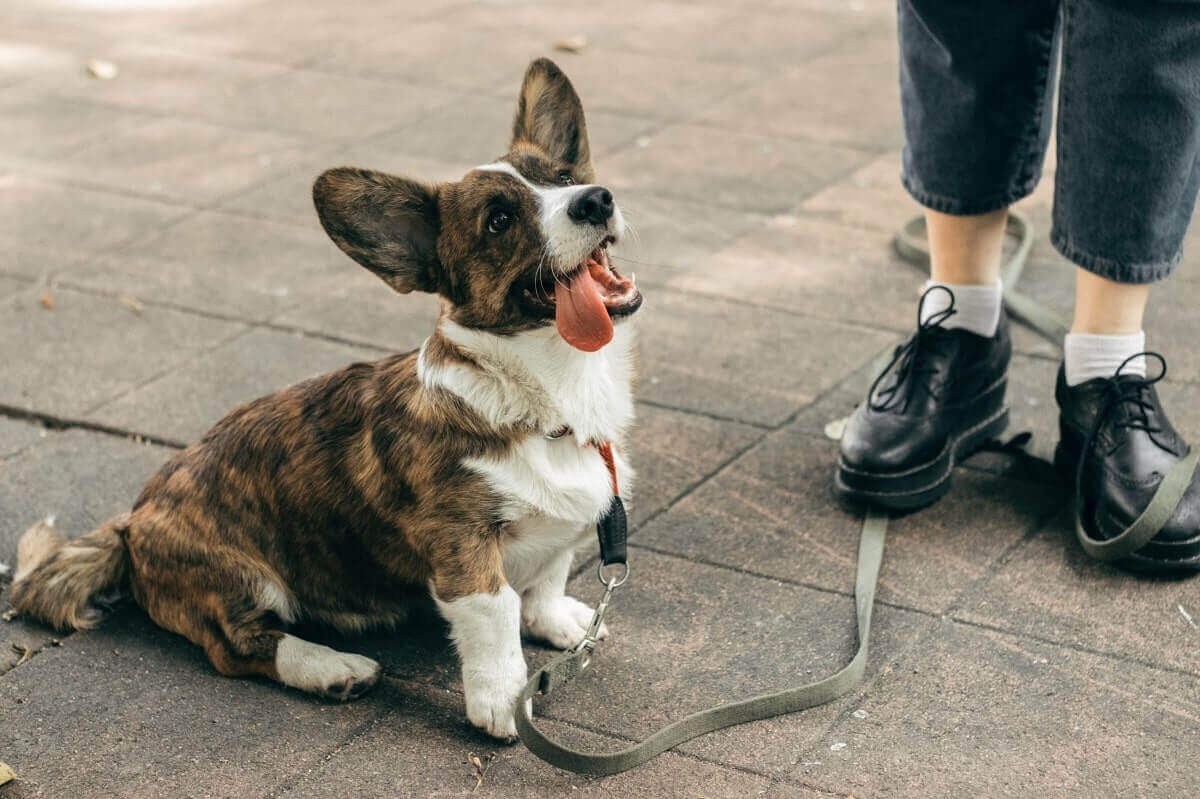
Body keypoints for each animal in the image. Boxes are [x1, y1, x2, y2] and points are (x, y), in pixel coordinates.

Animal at [11, 59, 648, 739]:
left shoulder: (566, 527)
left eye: (564, 179)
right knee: (236, 646)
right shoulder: (464, 549)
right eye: (499, 221)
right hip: (242, 577)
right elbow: (497, 616)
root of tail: (131, 524)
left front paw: (559, 623)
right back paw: (332, 668)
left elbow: (549, 575)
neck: (549, 397)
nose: (596, 199)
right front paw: (503, 702)